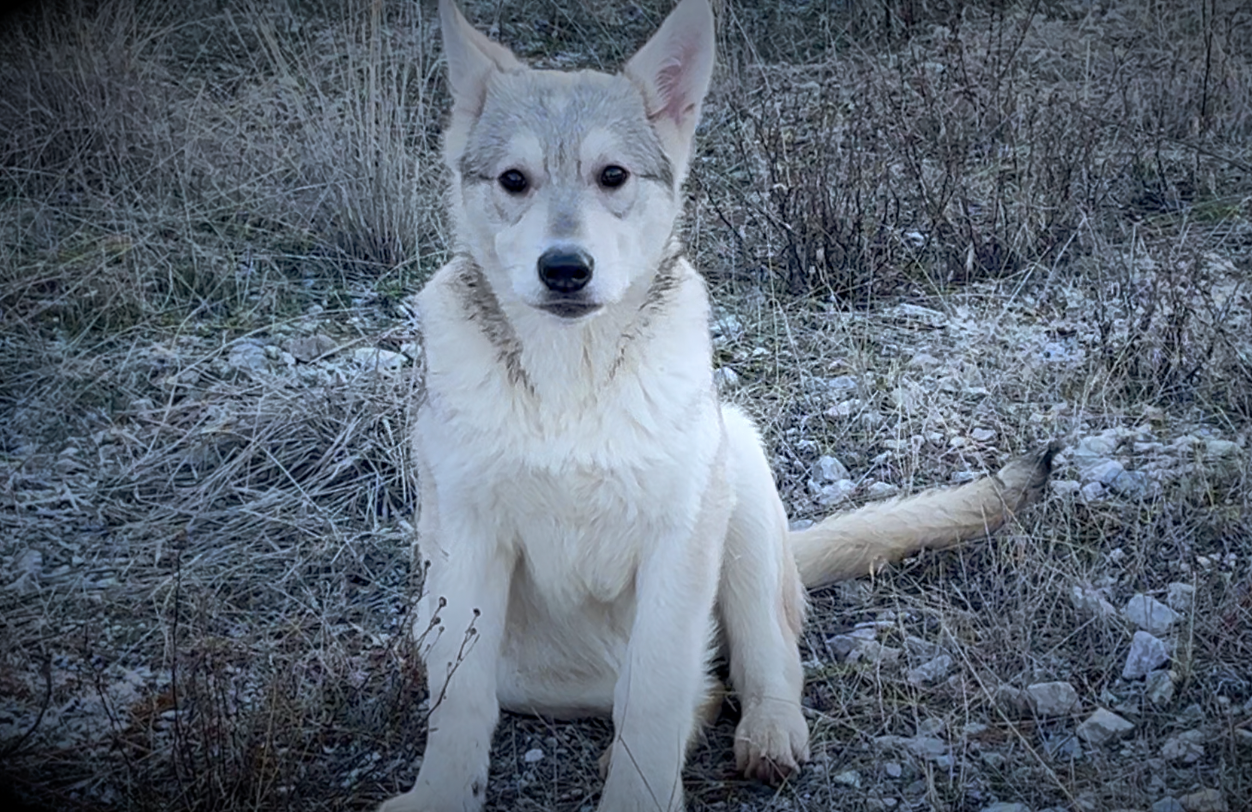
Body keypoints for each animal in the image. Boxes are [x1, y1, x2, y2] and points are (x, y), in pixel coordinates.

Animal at [383, 3, 1056, 805]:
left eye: (613, 175)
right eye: (513, 180)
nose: (565, 269)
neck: (572, 377)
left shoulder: (678, 538)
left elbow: (656, 691)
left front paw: (638, 800)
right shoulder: (468, 547)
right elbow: (461, 700)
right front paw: (441, 795)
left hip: (740, 489)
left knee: (759, 661)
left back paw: (766, 734)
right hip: (488, 648)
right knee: (693, 686)